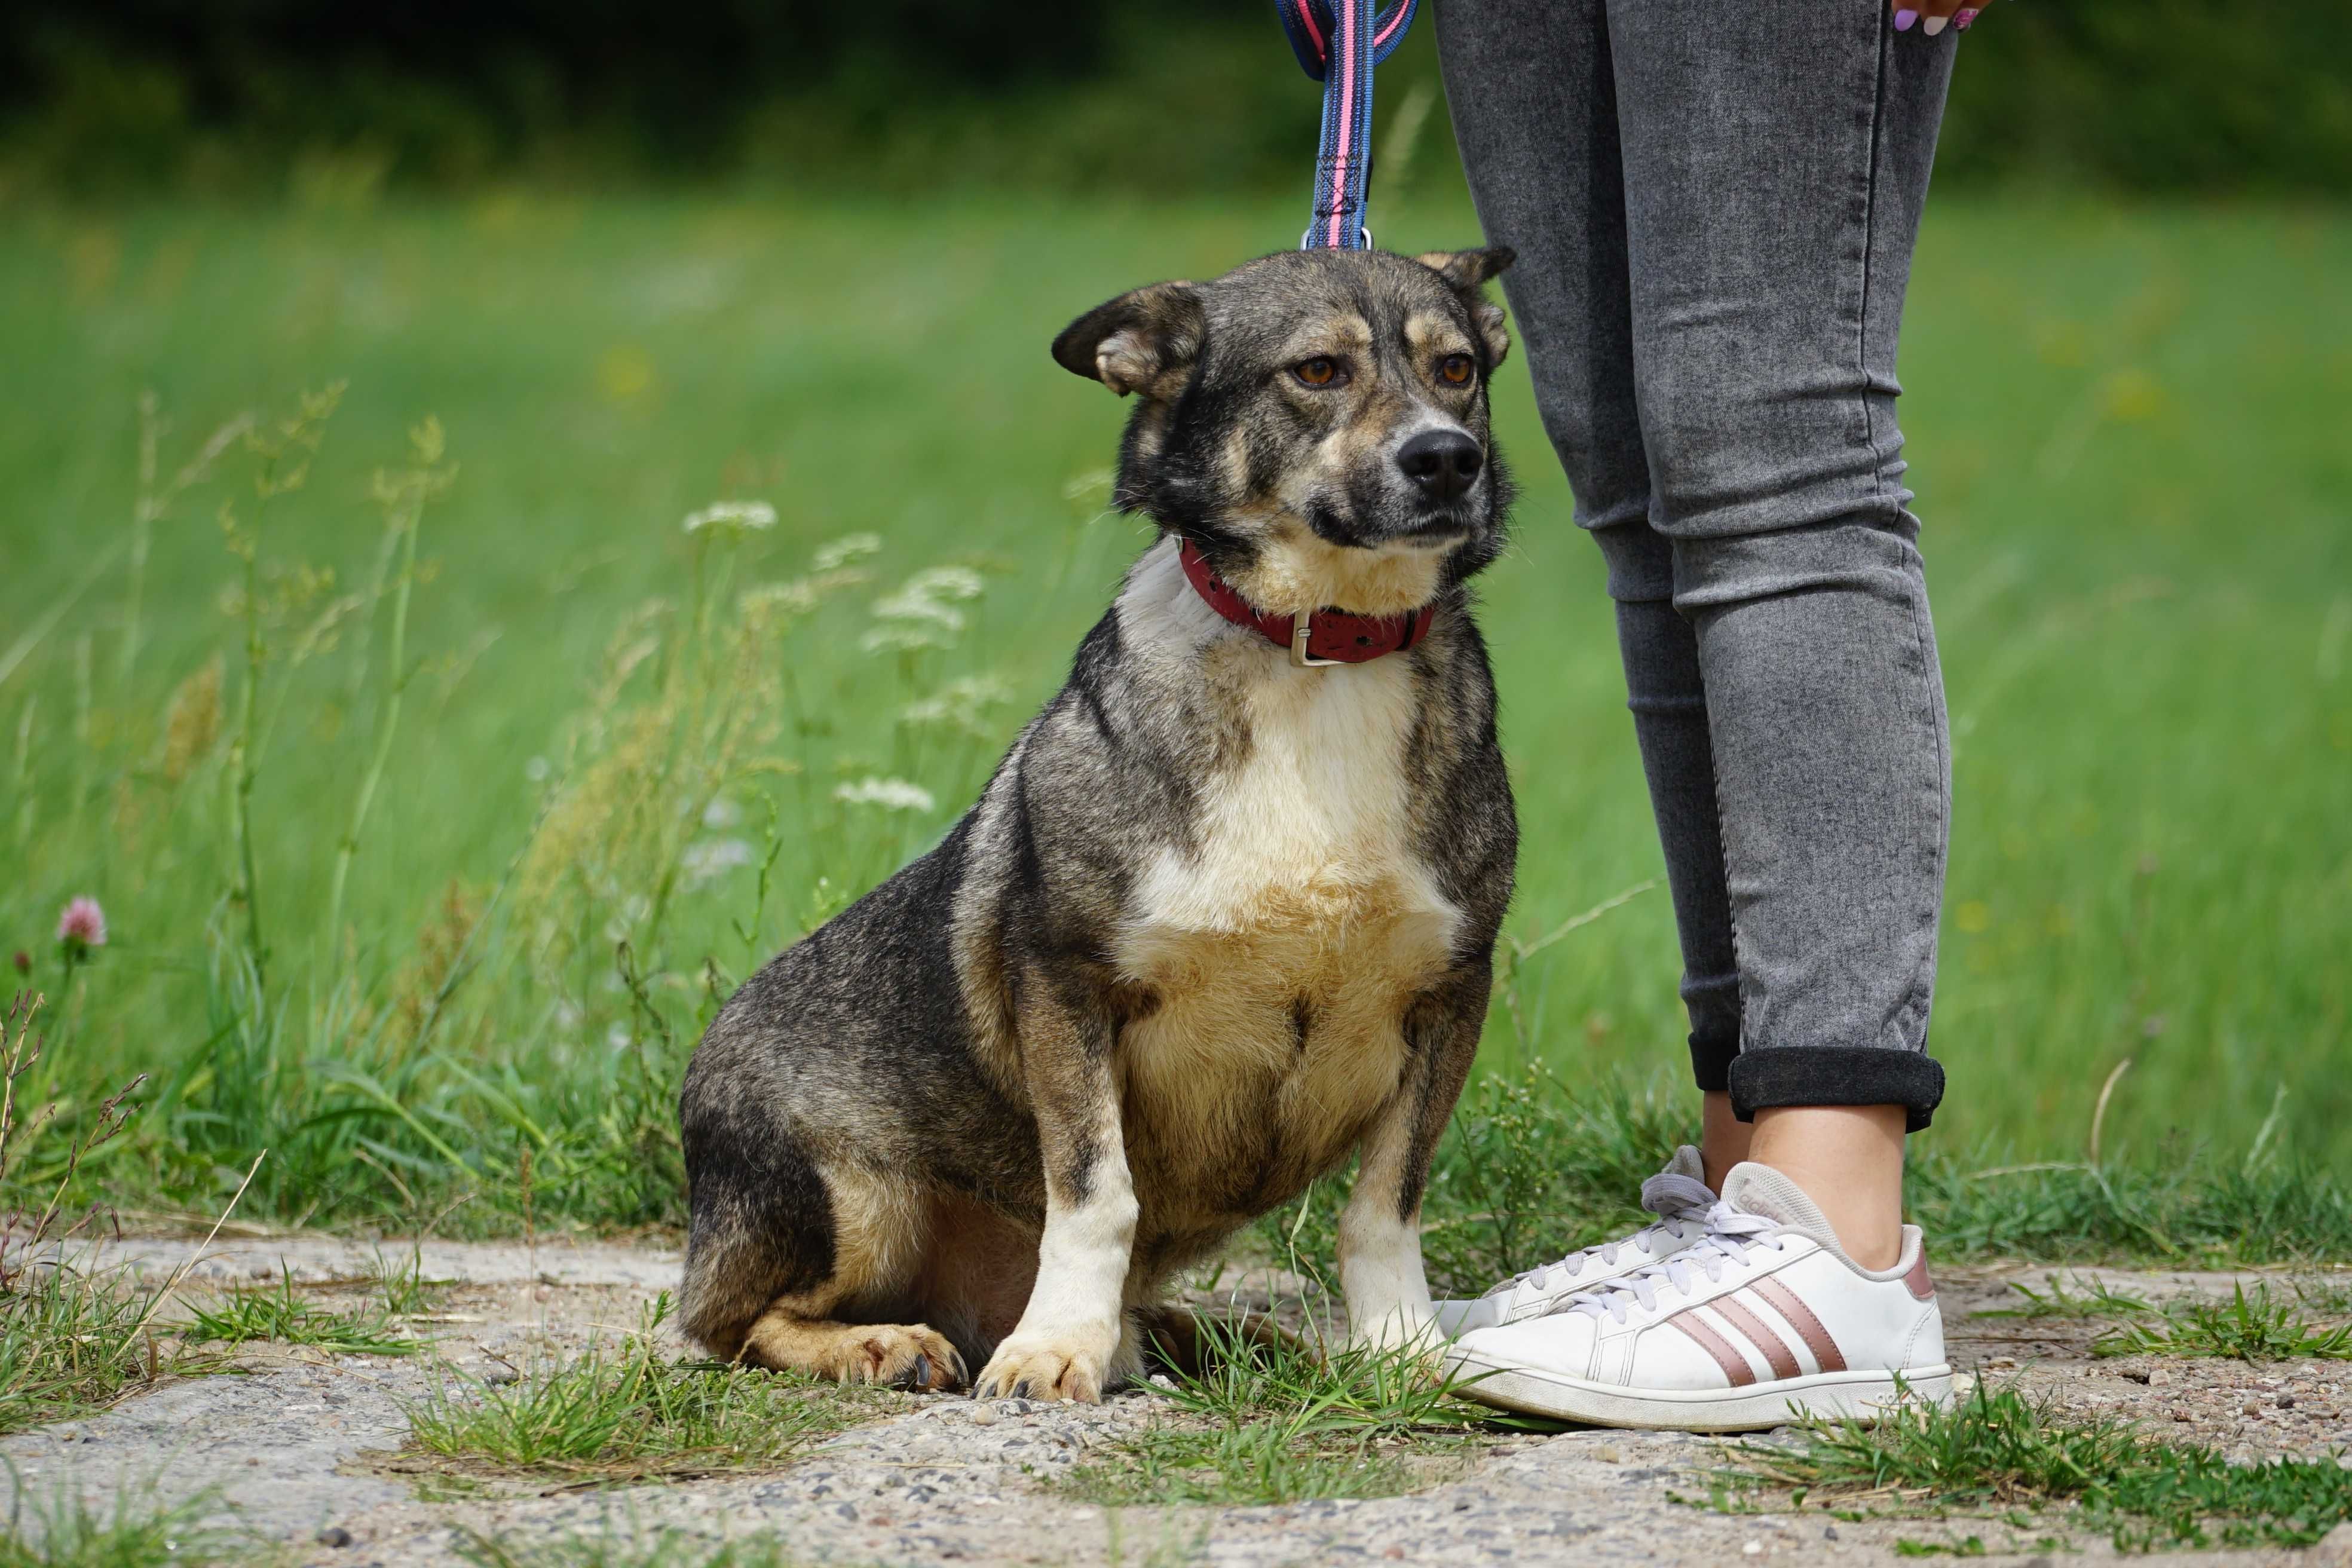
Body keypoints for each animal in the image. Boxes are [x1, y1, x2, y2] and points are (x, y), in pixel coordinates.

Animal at [682, 248, 1524, 1410]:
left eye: (1457, 369)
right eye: (1316, 370)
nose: (1447, 459)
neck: (1319, 651)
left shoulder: (1449, 990)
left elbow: (1383, 1207)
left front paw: (1399, 1348)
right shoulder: (1066, 983)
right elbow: (1094, 1195)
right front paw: (1056, 1347)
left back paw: (1213, 1339)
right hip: (852, 1196)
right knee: (725, 1324)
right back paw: (886, 1341)